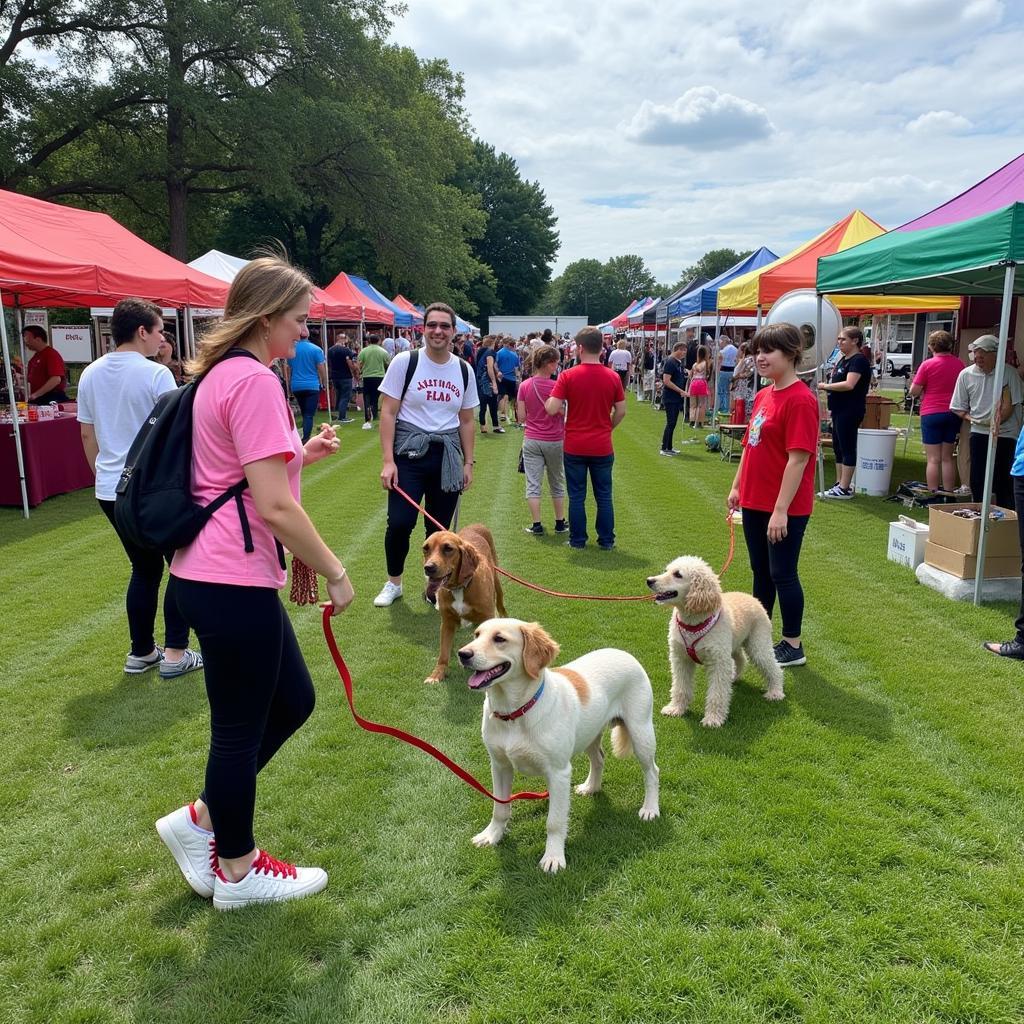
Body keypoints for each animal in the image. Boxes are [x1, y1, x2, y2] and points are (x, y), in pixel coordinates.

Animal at [421, 524, 505, 684]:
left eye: (448, 548)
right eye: (425, 548)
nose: (428, 567)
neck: (459, 587)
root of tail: (477, 524)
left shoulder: (487, 616)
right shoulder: (447, 622)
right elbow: (443, 654)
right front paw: (437, 674)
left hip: (497, 578)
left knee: (501, 604)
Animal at [458, 614, 663, 872]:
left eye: (499, 639)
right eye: (476, 635)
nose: (462, 654)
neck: (514, 713)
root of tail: (623, 653)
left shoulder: (558, 773)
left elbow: (554, 822)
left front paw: (553, 858)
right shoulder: (499, 765)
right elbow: (500, 808)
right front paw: (492, 835)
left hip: (640, 731)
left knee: (652, 771)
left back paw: (650, 809)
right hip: (590, 734)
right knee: (599, 759)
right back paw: (591, 787)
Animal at [647, 552, 782, 729]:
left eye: (678, 574)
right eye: (666, 570)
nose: (649, 580)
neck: (693, 623)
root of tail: (753, 599)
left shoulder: (718, 663)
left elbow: (717, 693)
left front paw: (713, 719)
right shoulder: (680, 659)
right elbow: (680, 687)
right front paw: (676, 709)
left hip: (758, 644)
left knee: (774, 667)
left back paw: (775, 692)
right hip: (733, 646)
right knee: (741, 659)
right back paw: (734, 678)